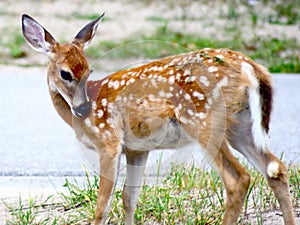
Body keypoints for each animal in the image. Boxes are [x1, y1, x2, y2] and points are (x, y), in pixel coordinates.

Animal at [21, 14, 296, 225]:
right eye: (65, 73)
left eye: (89, 70)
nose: (82, 108)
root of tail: (251, 67)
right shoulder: (137, 149)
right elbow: (129, 198)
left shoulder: (108, 142)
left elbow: (102, 206)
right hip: (240, 125)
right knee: (276, 168)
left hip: (203, 120)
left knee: (238, 178)